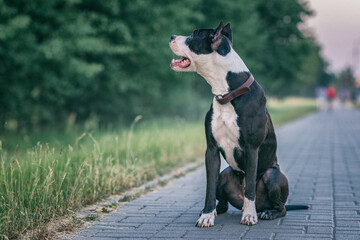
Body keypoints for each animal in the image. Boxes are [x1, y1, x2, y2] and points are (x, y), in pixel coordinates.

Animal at [169, 22, 306, 227]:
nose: (171, 36)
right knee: (224, 202)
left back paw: (266, 212)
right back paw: (216, 211)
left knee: (279, 207)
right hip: (225, 174)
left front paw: (249, 215)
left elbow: (249, 188)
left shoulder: (251, 149)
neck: (228, 93)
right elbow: (209, 188)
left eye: (193, 35)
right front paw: (206, 215)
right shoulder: (211, 150)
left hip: (272, 176)